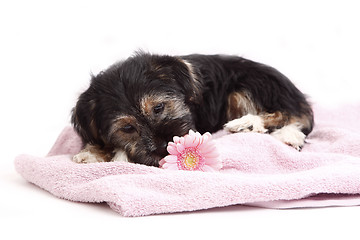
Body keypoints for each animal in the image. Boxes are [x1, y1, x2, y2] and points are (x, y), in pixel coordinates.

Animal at [71, 51, 314, 166]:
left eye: (158, 107)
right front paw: (91, 153)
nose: (163, 147)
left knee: (289, 115)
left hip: (247, 88)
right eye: (128, 128)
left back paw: (252, 125)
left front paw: (113, 155)